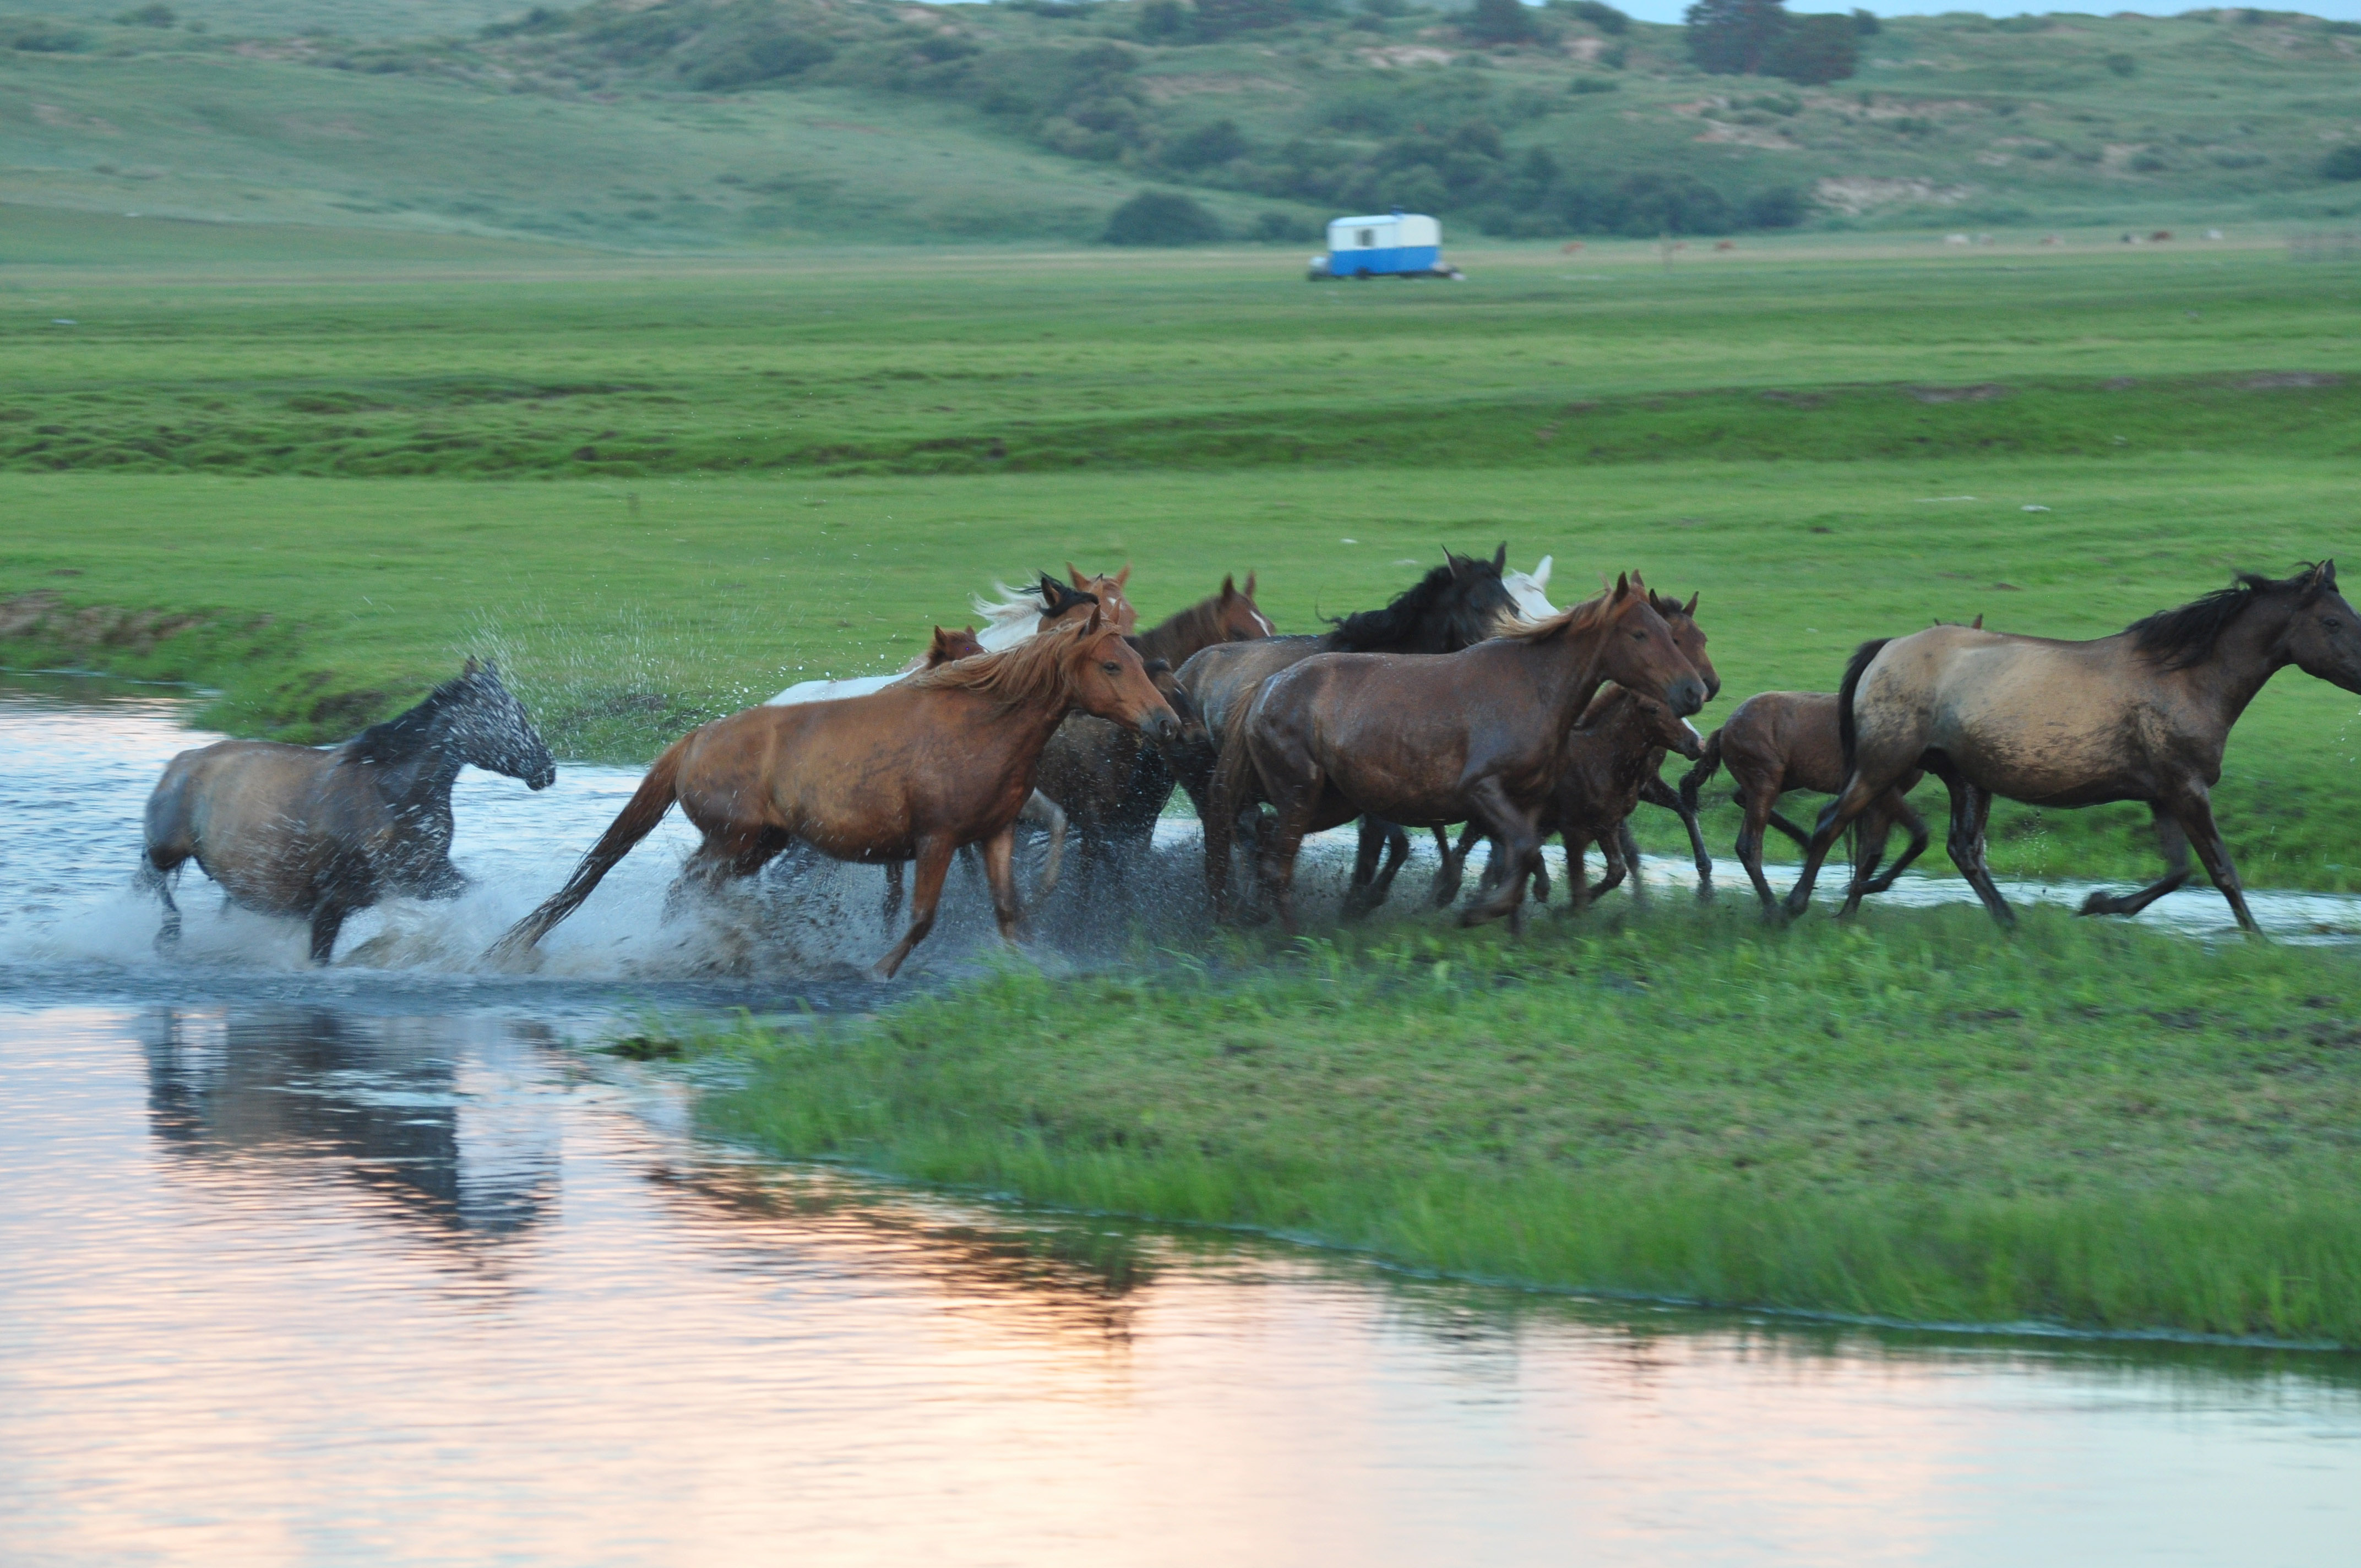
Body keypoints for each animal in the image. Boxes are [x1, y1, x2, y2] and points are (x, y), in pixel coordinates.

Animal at [139, 656, 557, 963]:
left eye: (519, 708)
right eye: (496, 716)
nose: (546, 769)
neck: (393, 798)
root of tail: (180, 762)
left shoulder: (427, 879)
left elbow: (477, 893)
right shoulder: (330, 903)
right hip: (167, 849)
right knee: (157, 881)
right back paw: (167, 937)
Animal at [491, 605, 1180, 973]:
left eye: (1139, 661)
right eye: (1111, 664)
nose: (1165, 722)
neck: (978, 725)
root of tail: (693, 739)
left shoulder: (994, 834)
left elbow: (1010, 911)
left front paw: (1028, 964)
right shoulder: (936, 839)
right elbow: (920, 918)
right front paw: (876, 972)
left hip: (760, 845)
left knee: (691, 889)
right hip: (733, 839)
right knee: (686, 887)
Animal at [1218, 581, 1700, 935]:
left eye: (1671, 634)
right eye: (1640, 634)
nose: (1694, 691)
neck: (1533, 688)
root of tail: (1265, 687)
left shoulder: (1530, 803)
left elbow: (1523, 859)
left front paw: (1512, 932)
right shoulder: (1483, 792)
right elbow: (1523, 852)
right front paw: (1477, 911)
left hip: (1331, 803)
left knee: (1265, 839)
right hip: (1301, 793)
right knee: (1276, 863)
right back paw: (1290, 941)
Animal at [1681, 689, 1917, 921]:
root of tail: (1725, 728)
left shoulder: (1875, 799)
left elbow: (1871, 854)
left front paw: (1849, 910)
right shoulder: (1882, 790)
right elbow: (1910, 838)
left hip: (1782, 780)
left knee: (1741, 798)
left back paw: (1805, 845)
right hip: (1767, 781)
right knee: (1748, 846)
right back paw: (1775, 911)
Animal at [1775, 564, 2361, 930]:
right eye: (2332, 621)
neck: (2187, 678)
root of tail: (1887, 649)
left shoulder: (2164, 794)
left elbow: (2179, 872)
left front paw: (2098, 904)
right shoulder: (2187, 790)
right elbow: (2221, 872)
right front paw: (2256, 938)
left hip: (1962, 777)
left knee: (1958, 849)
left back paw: (2008, 922)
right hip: (1884, 766)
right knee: (1831, 823)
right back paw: (1789, 908)